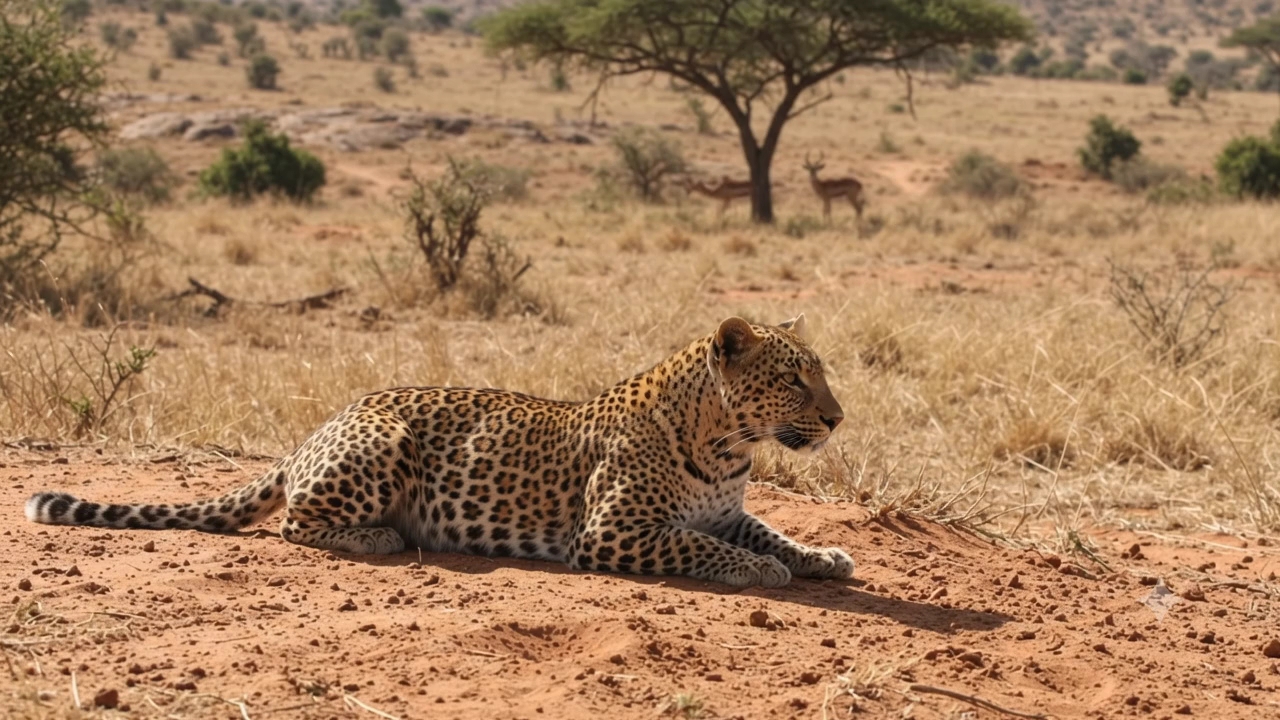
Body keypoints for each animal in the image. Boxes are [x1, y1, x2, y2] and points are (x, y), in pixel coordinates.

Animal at [25, 315, 853, 588]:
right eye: (793, 378)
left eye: (821, 371)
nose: (838, 418)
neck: (727, 444)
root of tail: (321, 425)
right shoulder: (613, 531)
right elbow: (704, 548)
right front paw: (761, 572)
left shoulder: (726, 509)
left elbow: (769, 530)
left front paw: (822, 556)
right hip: (382, 444)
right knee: (295, 522)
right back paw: (382, 537)